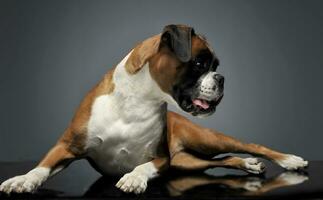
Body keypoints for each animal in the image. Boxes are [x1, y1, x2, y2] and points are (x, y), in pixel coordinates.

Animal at [0, 24, 308, 195]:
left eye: (216, 66)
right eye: (199, 63)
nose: (221, 78)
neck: (136, 100)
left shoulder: (161, 159)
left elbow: (143, 166)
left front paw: (133, 178)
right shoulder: (66, 146)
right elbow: (41, 167)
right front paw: (22, 180)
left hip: (205, 140)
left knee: (250, 145)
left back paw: (289, 160)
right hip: (187, 161)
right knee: (224, 159)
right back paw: (248, 164)